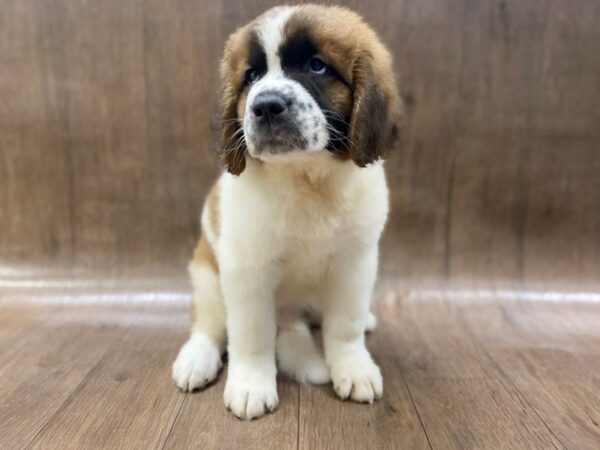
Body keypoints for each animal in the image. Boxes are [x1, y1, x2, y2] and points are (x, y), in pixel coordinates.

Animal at [171, 3, 400, 420]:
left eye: (317, 66)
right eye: (251, 76)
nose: (265, 106)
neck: (305, 177)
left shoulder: (355, 263)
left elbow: (345, 325)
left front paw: (354, 367)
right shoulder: (247, 271)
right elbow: (251, 334)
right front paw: (251, 384)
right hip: (207, 279)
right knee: (208, 324)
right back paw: (196, 359)